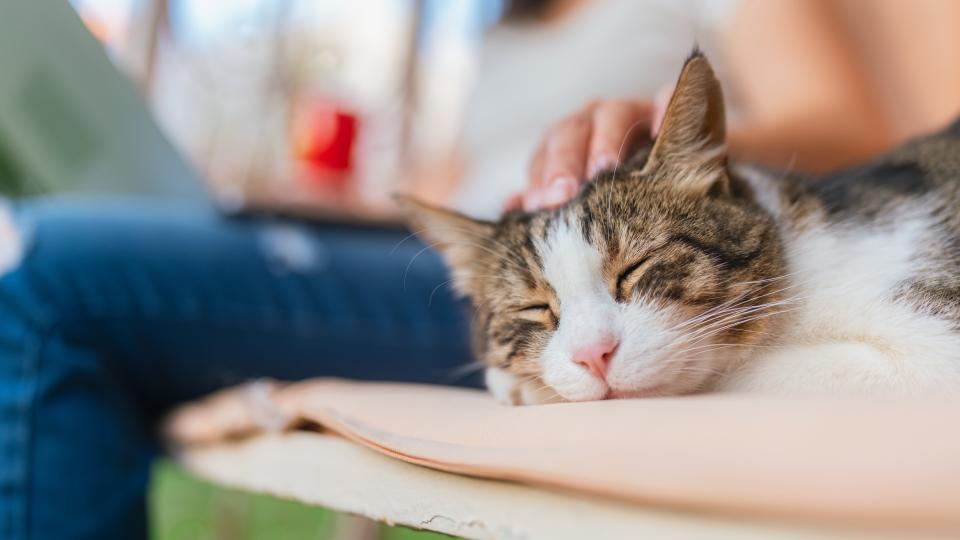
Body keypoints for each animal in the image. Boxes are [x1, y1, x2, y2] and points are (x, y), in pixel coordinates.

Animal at [396, 51, 960, 404]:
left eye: (635, 268)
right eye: (535, 309)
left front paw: (526, 387)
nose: (592, 356)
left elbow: (724, 374)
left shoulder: (932, 351)